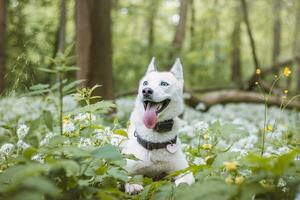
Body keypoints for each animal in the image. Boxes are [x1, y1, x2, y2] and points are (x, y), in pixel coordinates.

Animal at [122, 57, 195, 194]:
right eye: (145, 83)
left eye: (164, 84)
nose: (146, 91)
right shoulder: (126, 166)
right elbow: (123, 174)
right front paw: (133, 185)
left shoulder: (184, 171)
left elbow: (185, 180)